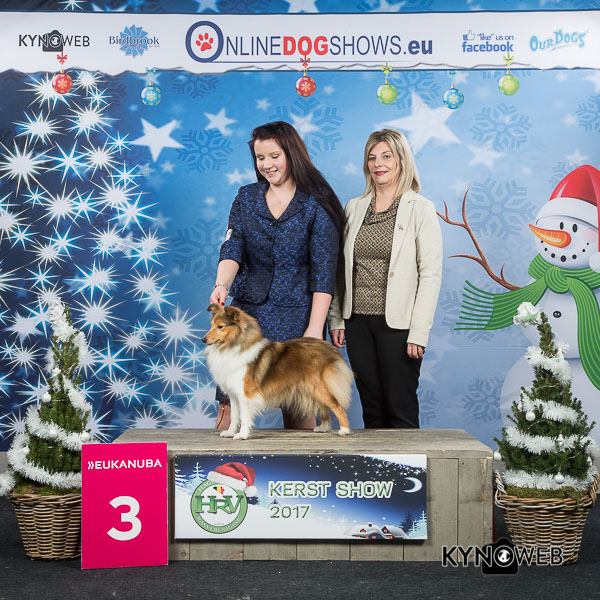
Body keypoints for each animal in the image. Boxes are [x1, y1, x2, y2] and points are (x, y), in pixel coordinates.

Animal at [202, 303, 353, 440]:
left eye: (220, 326)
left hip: (319, 387)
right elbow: (234, 416)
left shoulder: (246, 395)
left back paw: (344, 430)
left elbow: (244, 417)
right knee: (325, 408)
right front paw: (230, 432)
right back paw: (323, 427)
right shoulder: (233, 395)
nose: (203, 339)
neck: (232, 346)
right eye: (211, 325)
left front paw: (242, 435)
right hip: (314, 390)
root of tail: (331, 348)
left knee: (337, 407)